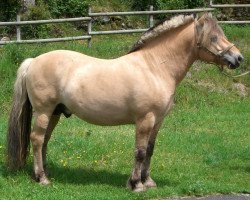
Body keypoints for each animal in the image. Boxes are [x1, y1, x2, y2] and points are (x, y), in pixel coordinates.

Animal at [6, 12, 243, 192]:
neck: (155, 67)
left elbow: (150, 150)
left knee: (44, 140)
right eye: (213, 37)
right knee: (37, 139)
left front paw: (148, 181)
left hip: (55, 112)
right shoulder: (145, 120)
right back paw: (42, 178)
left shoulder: (157, 121)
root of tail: (33, 61)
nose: (238, 58)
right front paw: (136, 184)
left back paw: (43, 173)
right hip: (43, 111)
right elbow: (139, 152)